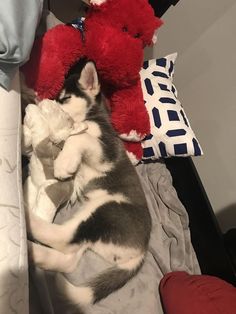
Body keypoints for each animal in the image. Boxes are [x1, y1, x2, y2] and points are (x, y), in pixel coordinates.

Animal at [25, 59, 151, 310]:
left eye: (64, 98)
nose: (43, 103)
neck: (94, 118)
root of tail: (141, 251)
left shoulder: (105, 151)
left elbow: (79, 137)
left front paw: (63, 164)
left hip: (105, 210)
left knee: (62, 237)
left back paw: (26, 219)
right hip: (94, 228)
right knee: (70, 259)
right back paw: (37, 256)